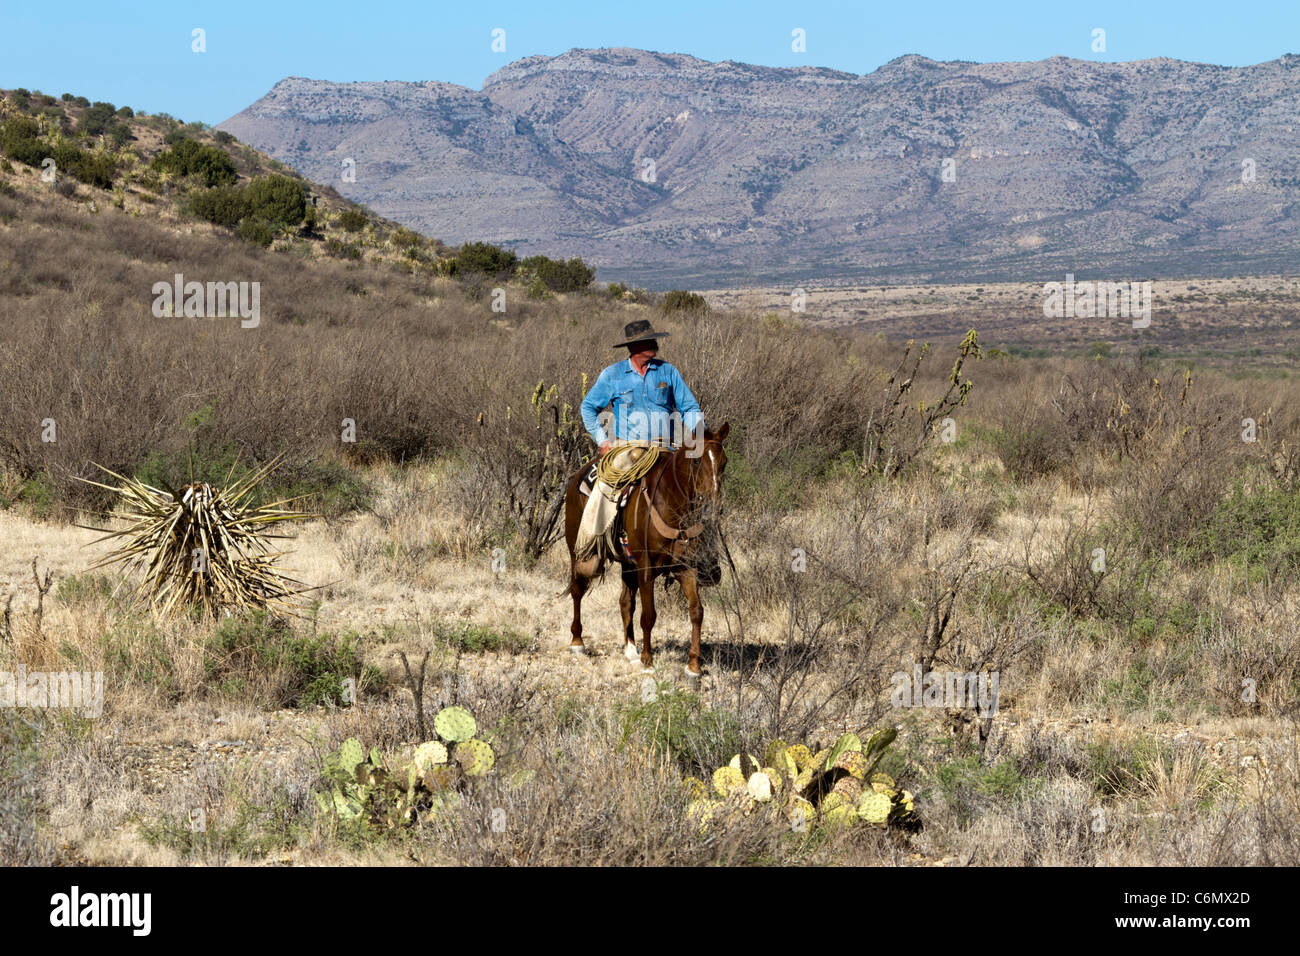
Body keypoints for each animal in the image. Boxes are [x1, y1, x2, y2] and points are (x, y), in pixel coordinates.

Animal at [564, 421, 733, 676]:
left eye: (723, 462)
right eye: (696, 461)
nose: (712, 506)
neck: (670, 502)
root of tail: (575, 478)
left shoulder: (686, 568)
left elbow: (696, 611)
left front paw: (693, 665)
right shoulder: (646, 567)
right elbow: (649, 615)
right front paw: (647, 660)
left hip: (627, 564)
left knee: (625, 602)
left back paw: (630, 650)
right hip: (580, 554)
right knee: (577, 590)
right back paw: (577, 642)